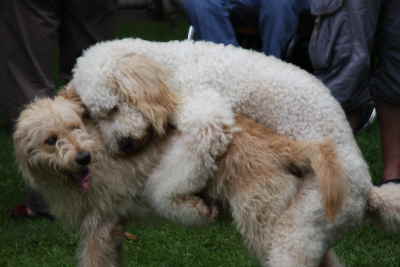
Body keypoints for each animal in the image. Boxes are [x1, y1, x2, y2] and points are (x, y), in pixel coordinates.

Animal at [14, 92, 346, 267]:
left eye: (74, 127)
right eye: (51, 140)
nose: (84, 158)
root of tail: (281, 143)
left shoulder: (100, 226)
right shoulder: (113, 228)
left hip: (262, 225)